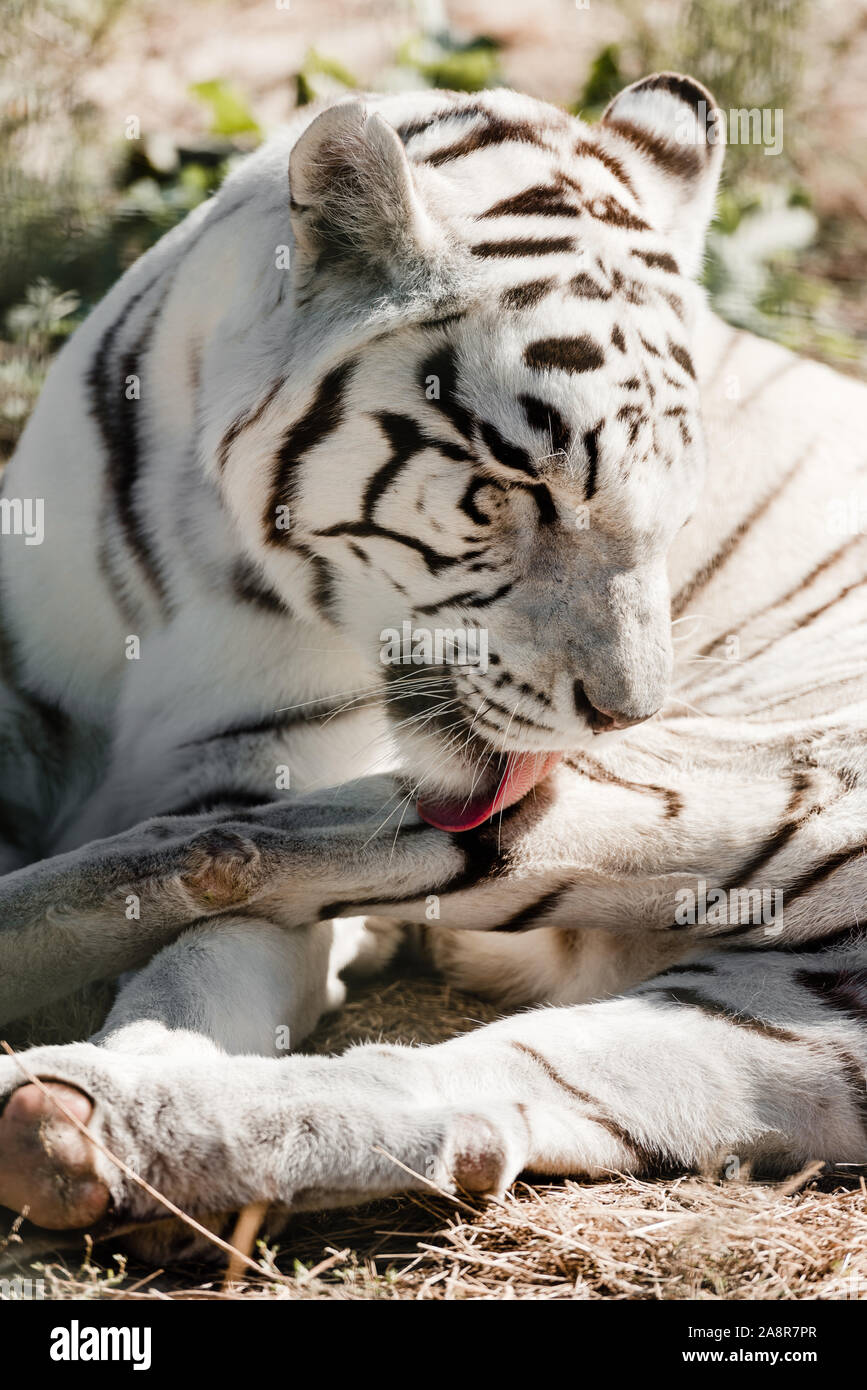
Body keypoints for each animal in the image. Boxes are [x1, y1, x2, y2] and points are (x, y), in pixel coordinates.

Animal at [0, 72, 864, 1253]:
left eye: (677, 512)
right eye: (517, 489)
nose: (625, 713)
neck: (202, 547)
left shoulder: (257, 774)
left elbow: (201, 953)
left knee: (235, 849)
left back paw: (75, 1111)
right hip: (788, 1023)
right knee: (481, 1097)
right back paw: (81, 1132)